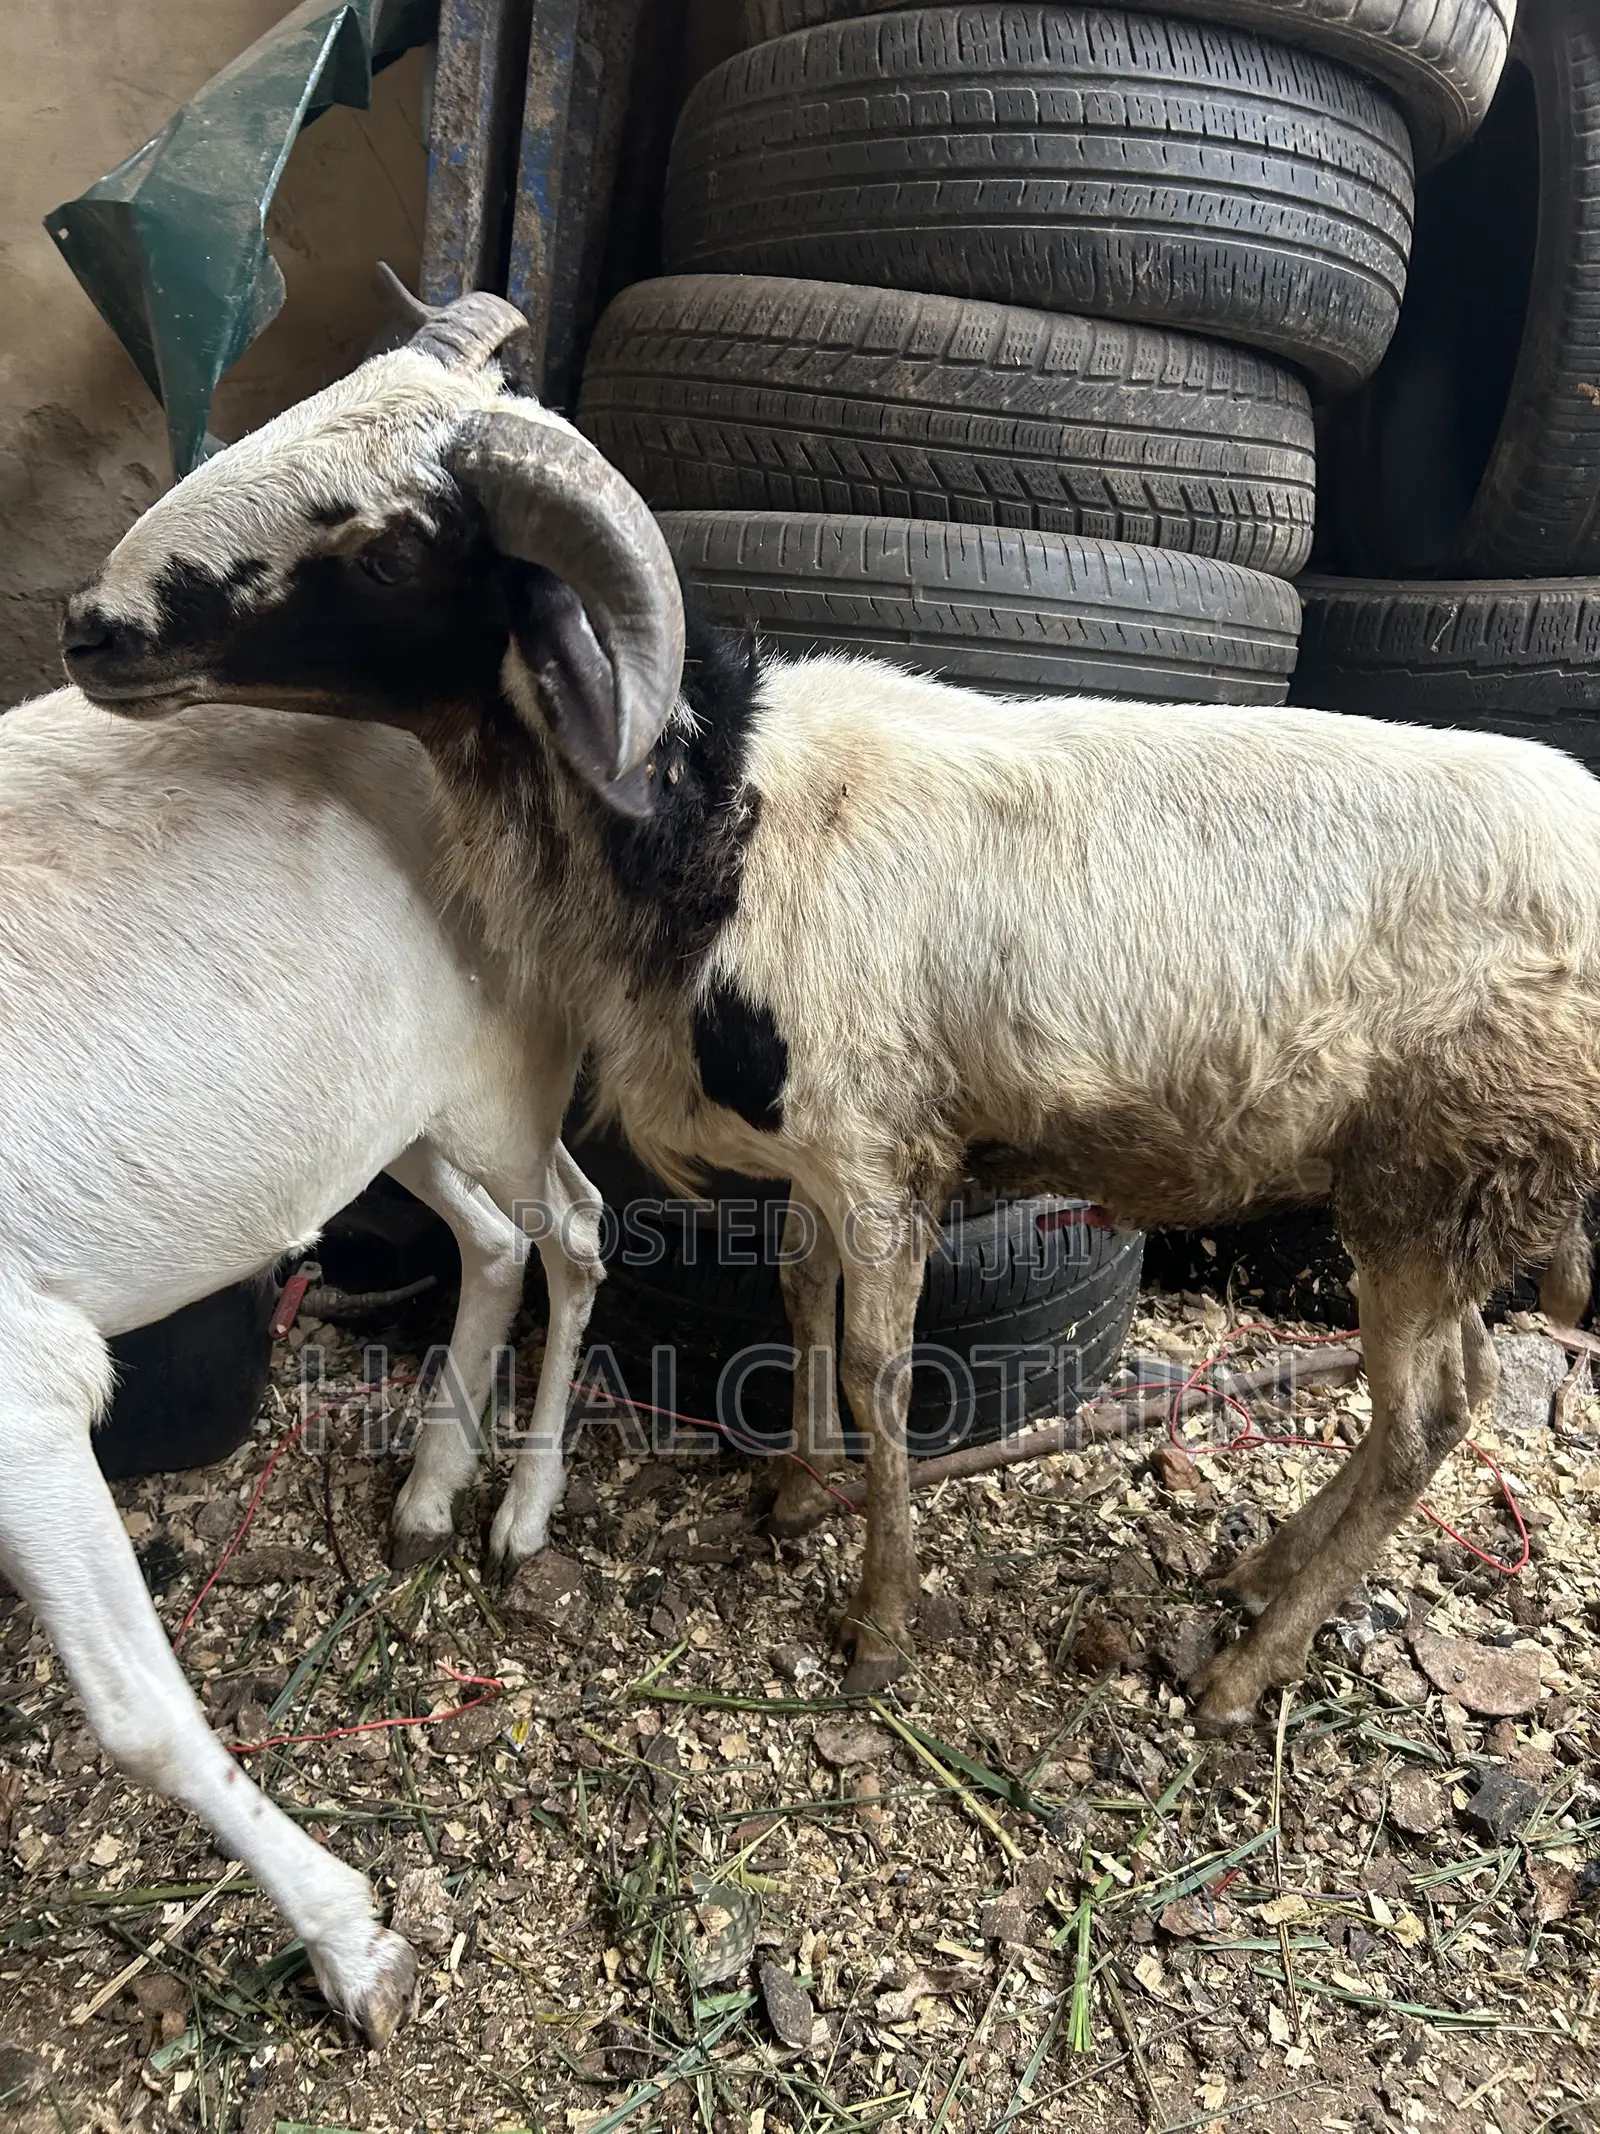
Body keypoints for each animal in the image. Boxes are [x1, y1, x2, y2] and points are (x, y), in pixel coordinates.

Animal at [0, 677, 607, 2042]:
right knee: (493, 1237)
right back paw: (428, 1496)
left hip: (505, 1056)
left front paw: (357, 1948)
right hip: (385, 1104)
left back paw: (521, 1514)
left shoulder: (20, 1387)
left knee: (575, 1226)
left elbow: (138, 1714)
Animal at [59, 284, 1600, 1738]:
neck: (719, 807)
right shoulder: (809, 1150)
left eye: (385, 552)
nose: (88, 627)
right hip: (1434, 1195)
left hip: (1442, 1172)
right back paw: (1257, 1572)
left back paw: (1244, 1668)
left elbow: (876, 1365)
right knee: (1453, 1383)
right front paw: (794, 1498)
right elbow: (796, 1305)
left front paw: (878, 1622)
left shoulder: (878, 1147)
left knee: (1421, 1417)